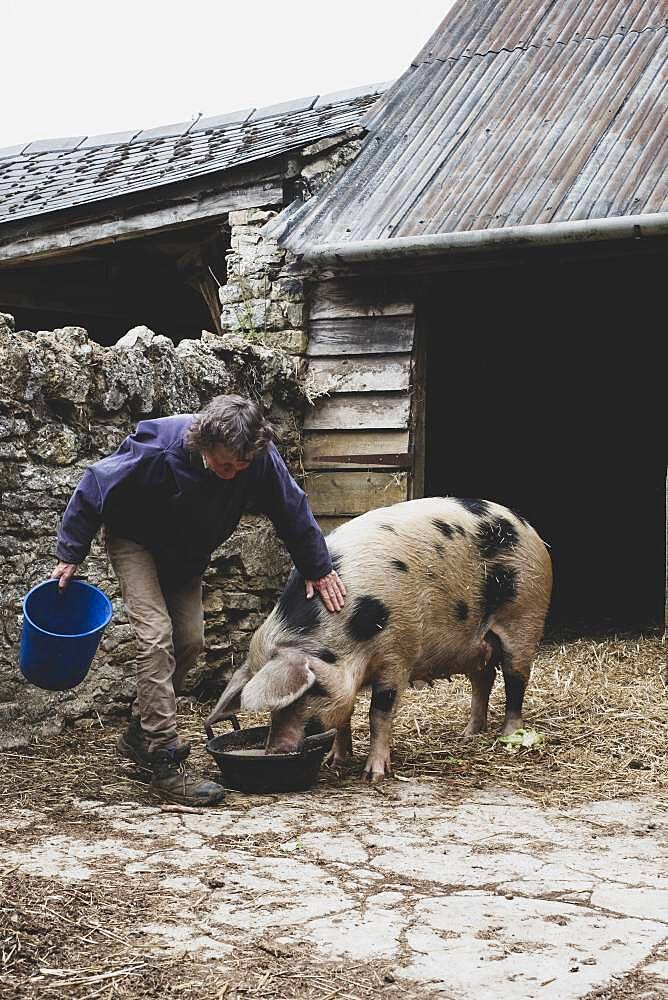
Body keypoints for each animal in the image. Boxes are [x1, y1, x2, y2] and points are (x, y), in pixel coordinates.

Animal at [206, 498, 552, 780]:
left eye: (307, 691)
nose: (274, 751)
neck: (350, 629)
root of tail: (529, 528)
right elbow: (344, 715)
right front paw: (335, 761)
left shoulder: (396, 654)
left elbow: (378, 714)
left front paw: (373, 775)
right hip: (474, 644)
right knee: (484, 677)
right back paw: (468, 735)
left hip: (525, 617)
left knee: (516, 680)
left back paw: (508, 736)